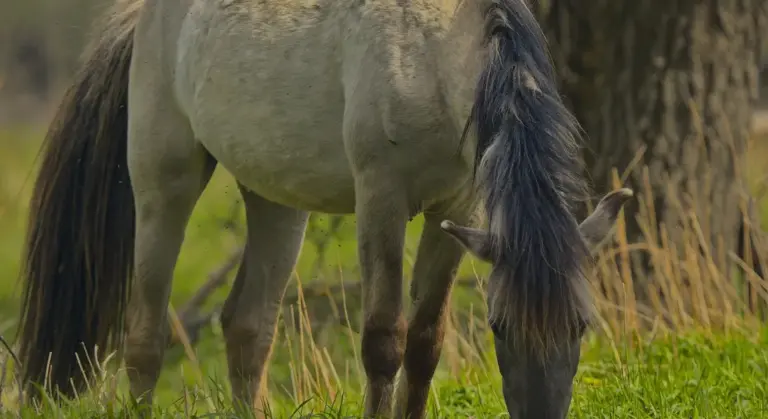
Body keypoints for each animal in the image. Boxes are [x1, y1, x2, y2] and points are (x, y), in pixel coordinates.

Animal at [16, 0, 632, 417]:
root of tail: (143, 15)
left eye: (582, 324)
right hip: (163, 182)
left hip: (276, 203)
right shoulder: (382, 198)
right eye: (500, 327)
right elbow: (384, 341)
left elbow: (425, 343)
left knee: (248, 329)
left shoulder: (457, 211)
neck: (432, 50)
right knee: (144, 338)